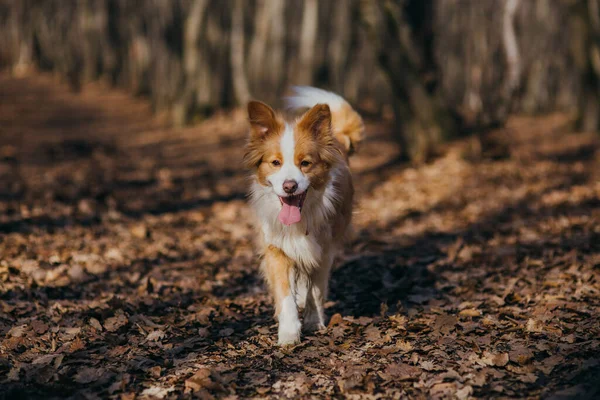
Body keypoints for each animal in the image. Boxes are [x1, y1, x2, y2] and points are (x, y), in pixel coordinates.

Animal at [241, 88, 364, 346]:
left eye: (305, 163)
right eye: (275, 163)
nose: (290, 186)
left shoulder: (324, 249)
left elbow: (316, 288)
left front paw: (313, 321)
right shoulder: (275, 247)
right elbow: (284, 291)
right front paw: (289, 332)